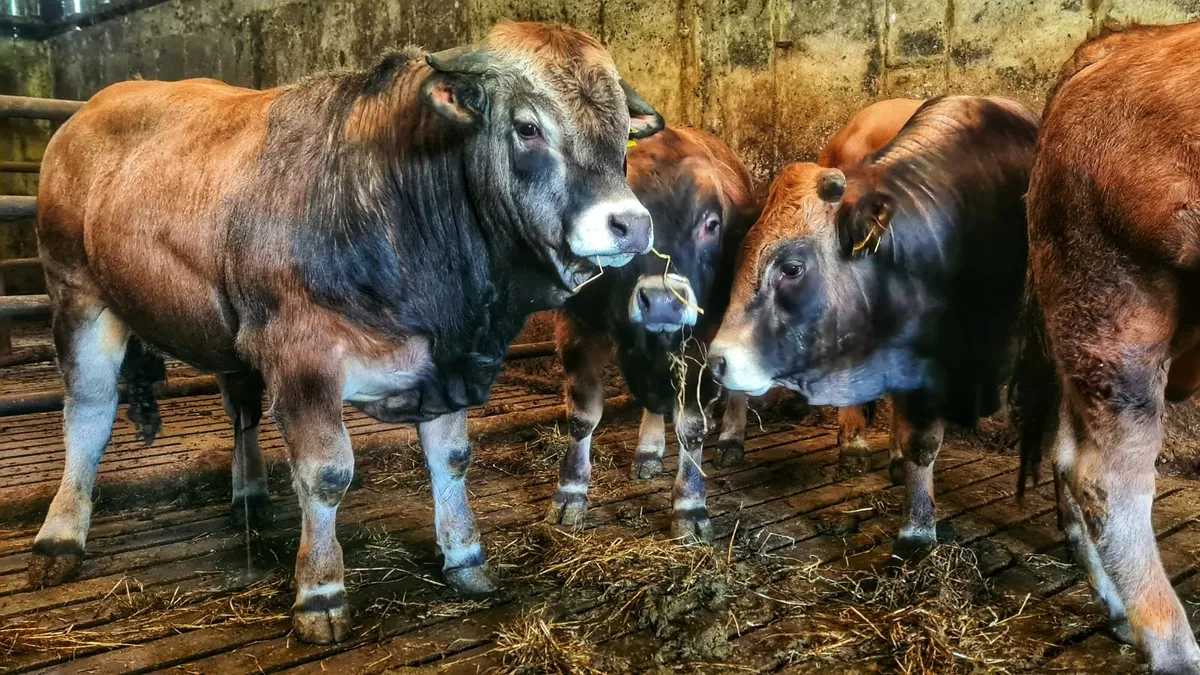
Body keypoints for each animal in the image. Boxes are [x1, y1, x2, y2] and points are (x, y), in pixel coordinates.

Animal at [28, 22, 663, 645]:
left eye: (621, 135)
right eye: (528, 127)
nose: (631, 224)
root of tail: (94, 106)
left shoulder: (446, 357)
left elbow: (453, 457)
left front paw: (464, 557)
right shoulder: (302, 357)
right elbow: (327, 473)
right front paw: (321, 591)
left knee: (240, 403)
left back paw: (250, 497)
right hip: (76, 291)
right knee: (89, 410)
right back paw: (60, 537)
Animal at [547, 126, 758, 542]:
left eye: (711, 224)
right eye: (624, 224)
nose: (662, 300)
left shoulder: (702, 340)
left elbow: (691, 424)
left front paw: (690, 504)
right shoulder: (576, 324)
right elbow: (582, 415)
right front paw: (571, 492)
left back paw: (731, 438)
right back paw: (649, 448)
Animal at [1018, 22, 1200, 673]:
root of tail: (1112, 44)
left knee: (1070, 453)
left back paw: (1119, 613)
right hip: (1114, 294)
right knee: (1106, 472)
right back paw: (1174, 649)